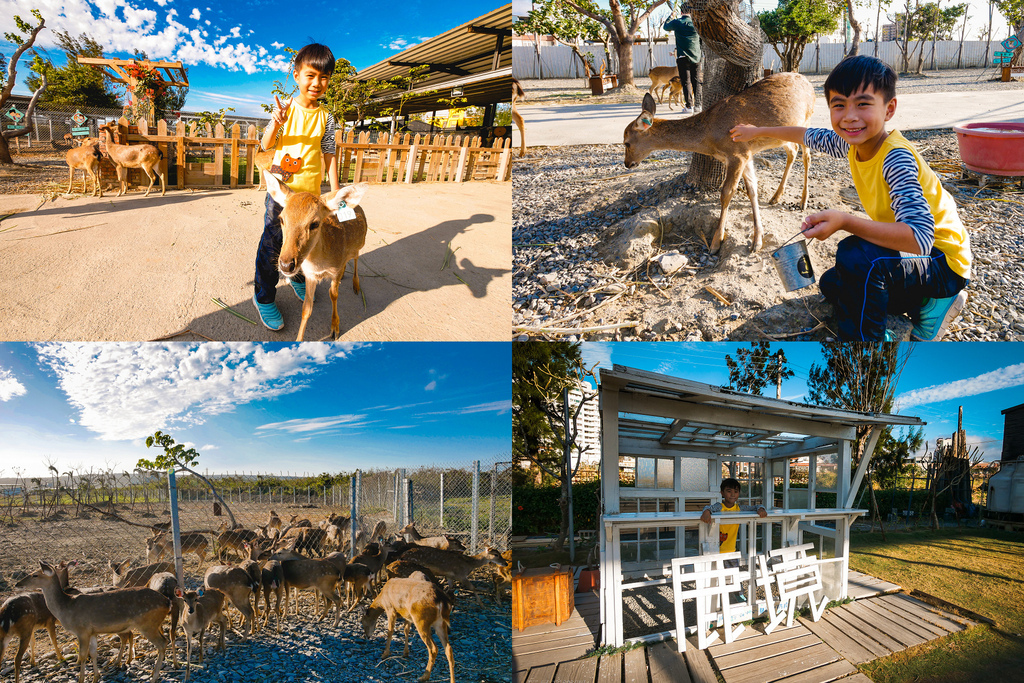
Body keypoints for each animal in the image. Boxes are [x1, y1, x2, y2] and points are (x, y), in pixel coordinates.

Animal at [15, 565, 169, 683]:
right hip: (153, 624)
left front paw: (81, 679)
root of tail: (167, 602)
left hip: (147, 624)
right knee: (163, 639)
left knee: (162, 642)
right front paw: (96, 677)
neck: (65, 607)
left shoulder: (82, 630)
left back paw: (154, 677)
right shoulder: (93, 632)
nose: (17, 584)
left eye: (35, 575)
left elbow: (83, 655)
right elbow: (94, 653)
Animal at [264, 172, 368, 339]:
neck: (320, 264)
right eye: (281, 219)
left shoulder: (335, 271)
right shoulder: (310, 275)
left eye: (315, 223)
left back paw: (356, 286)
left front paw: (335, 329)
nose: (286, 264)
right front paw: (298, 339)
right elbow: (306, 308)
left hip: (360, 243)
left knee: (357, 257)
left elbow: (333, 295)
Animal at [618, 72, 811, 254]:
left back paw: (803, 201)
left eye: (626, 143)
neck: (710, 136)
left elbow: (726, 193)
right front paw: (757, 240)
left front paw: (716, 243)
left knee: (806, 154)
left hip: (806, 121)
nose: (627, 164)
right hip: (782, 135)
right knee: (792, 150)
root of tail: (807, 82)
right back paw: (776, 197)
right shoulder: (746, 154)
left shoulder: (737, 154)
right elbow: (752, 189)